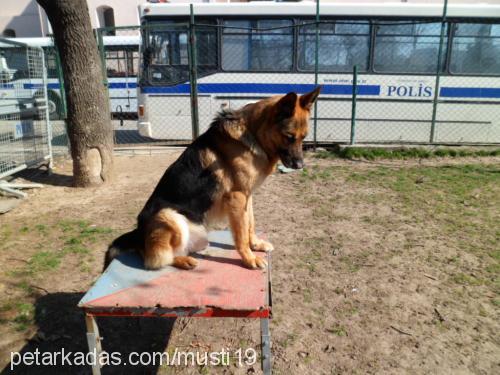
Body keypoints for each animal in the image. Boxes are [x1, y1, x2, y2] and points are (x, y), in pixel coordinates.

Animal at [106, 87, 320, 270]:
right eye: (289, 136)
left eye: (304, 137)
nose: (300, 166)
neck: (253, 135)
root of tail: (137, 235)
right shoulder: (237, 197)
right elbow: (241, 234)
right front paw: (249, 258)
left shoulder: (248, 196)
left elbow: (250, 224)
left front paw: (256, 245)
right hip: (167, 215)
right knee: (155, 260)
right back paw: (183, 261)